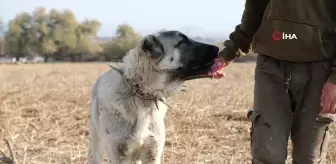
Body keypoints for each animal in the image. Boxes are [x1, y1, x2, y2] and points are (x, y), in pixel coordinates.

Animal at [88, 30, 222, 163]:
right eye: (182, 42)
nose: (217, 48)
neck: (141, 93)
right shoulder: (118, 155)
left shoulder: (153, 154)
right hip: (95, 146)